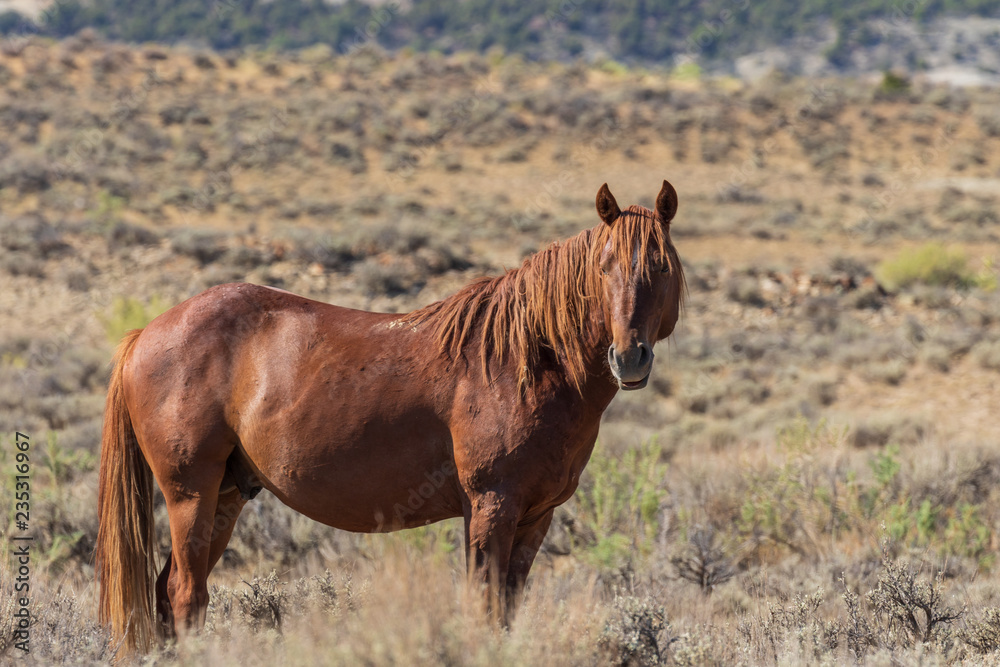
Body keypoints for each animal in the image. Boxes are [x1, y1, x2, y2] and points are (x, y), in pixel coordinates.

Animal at [96, 180, 685, 653]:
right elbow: (483, 607)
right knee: (184, 594)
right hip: (190, 496)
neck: (524, 361)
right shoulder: (490, 508)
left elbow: (507, 610)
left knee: (171, 594)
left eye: (661, 266)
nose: (629, 358)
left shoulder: (535, 517)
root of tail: (145, 334)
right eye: (603, 267)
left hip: (225, 497)